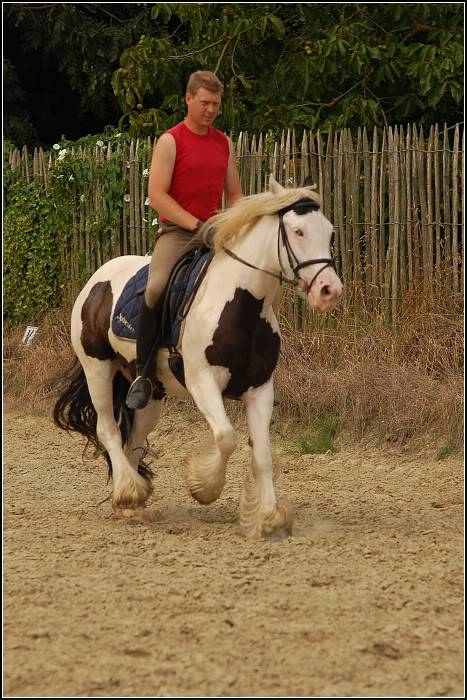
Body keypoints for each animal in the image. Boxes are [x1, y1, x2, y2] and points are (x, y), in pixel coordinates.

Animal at [54, 176, 344, 540]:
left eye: (330, 232)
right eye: (297, 231)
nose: (329, 291)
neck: (241, 304)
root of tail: (96, 279)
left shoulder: (261, 389)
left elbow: (262, 455)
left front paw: (269, 518)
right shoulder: (202, 383)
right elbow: (227, 438)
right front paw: (204, 488)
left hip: (151, 393)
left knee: (133, 440)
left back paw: (131, 506)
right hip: (98, 370)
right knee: (108, 430)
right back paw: (127, 493)